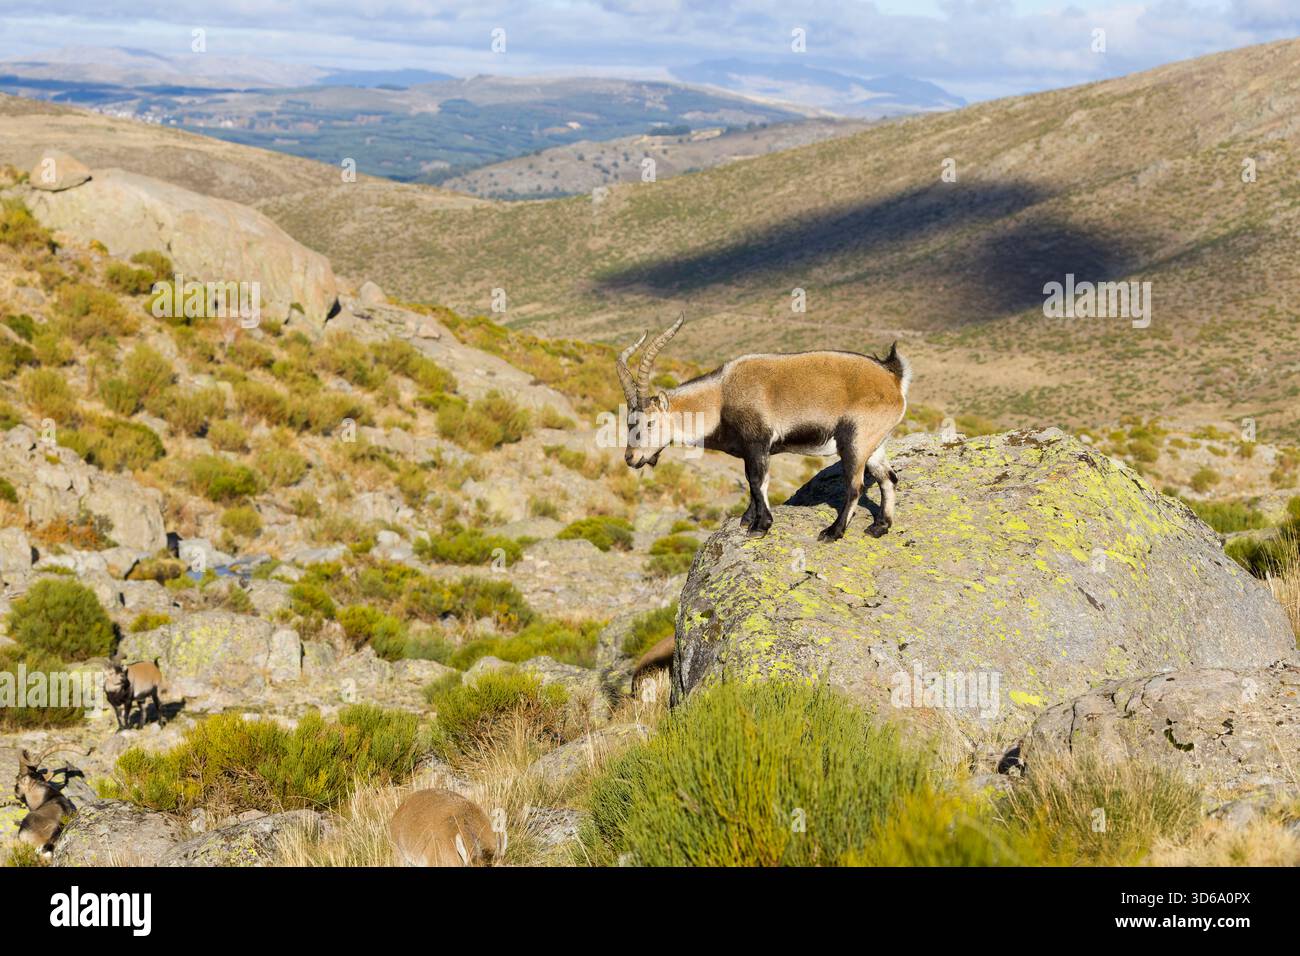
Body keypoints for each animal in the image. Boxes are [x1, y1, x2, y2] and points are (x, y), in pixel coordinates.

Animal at [617, 317, 911, 541]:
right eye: (629, 421)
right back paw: (879, 526)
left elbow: (758, 481)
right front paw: (749, 519)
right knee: (888, 477)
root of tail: (893, 379)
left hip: (854, 441)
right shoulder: (753, 450)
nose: (631, 457)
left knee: (855, 485)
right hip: (874, 444)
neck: (721, 396)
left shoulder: (757, 442)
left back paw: (833, 532)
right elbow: (753, 484)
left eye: (650, 422)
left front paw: (761, 526)